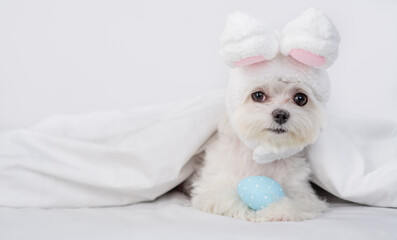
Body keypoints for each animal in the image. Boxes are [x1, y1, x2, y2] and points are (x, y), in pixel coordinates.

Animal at [190, 7, 338, 221]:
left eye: (300, 98)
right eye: (258, 95)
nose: (281, 114)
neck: (265, 153)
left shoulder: (304, 194)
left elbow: (294, 203)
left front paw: (276, 209)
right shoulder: (211, 190)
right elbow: (227, 198)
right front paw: (248, 211)